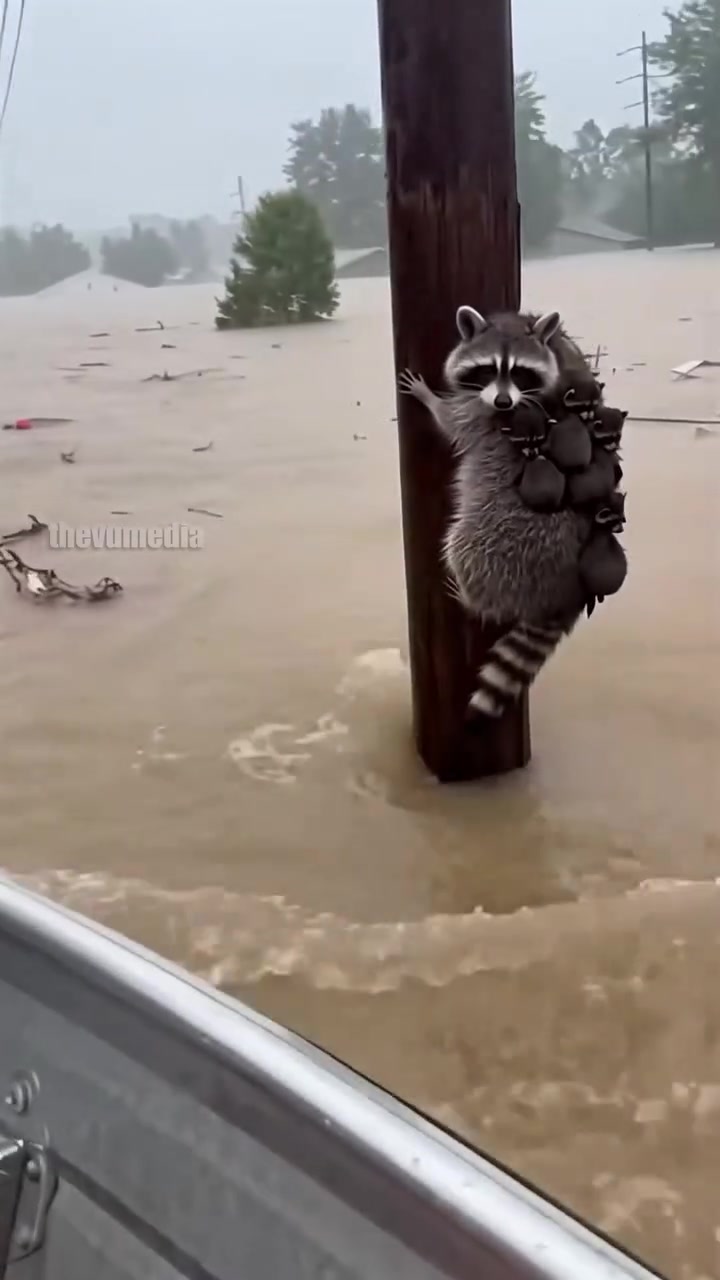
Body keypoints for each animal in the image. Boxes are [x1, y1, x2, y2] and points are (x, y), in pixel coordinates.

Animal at [399, 306, 598, 718]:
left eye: (519, 372)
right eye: (488, 369)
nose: (504, 403)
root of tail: (563, 591)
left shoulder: (482, 418)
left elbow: (451, 423)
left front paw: (429, 398)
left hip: (503, 537)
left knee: (463, 545)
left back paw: (470, 598)